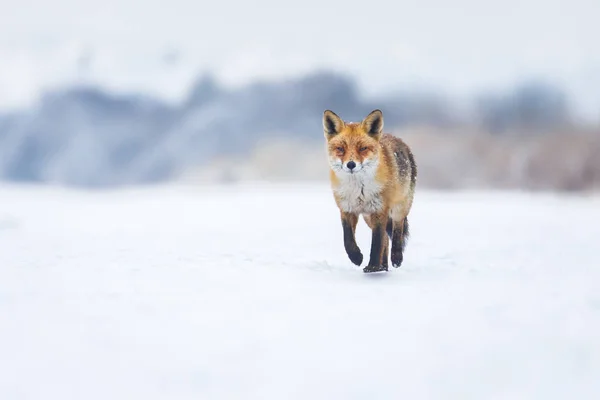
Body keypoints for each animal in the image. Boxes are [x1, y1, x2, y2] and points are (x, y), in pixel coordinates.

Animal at [324, 108, 418, 272]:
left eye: (362, 148)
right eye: (340, 149)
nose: (351, 165)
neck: (358, 190)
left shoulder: (380, 210)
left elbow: (376, 242)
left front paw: (372, 265)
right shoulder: (346, 209)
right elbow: (347, 239)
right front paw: (356, 257)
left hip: (399, 208)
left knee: (397, 231)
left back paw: (395, 258)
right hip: (368, 217)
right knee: (386, 239)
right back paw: (383, 267)